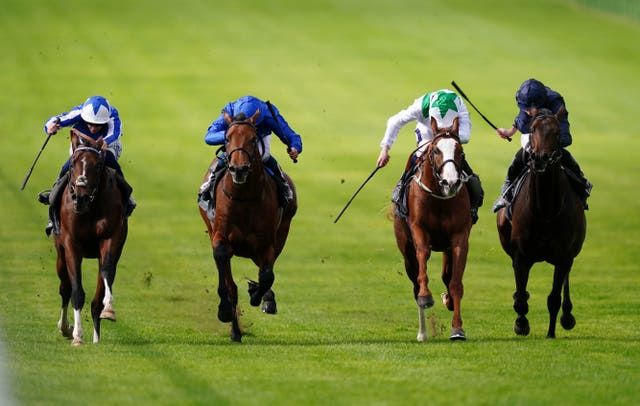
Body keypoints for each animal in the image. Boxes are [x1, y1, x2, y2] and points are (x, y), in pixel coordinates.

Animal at [54, 128, 128, 344]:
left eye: (98, 165)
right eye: (73, 164)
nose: (80, 198)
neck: (90, 208)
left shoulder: (110, 238)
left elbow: (106, 272)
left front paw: (109, 309)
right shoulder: (71, 244)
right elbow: (76, 291)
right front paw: (77, 335)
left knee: (97, 297)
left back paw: (96, 337)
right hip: (60, 253)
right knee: (65, 288)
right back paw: (65, 327)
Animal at [199, 108, 298, 342]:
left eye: (254, 139)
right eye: (227, 138)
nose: (239, 169)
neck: (244, 199)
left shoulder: (266, 244)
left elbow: (267, 276)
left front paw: (258, 295)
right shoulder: (220, 238)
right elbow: (227, 279)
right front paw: (225, 311)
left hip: (281, 234)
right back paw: (235, 330)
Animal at [392, 118, 472, 342]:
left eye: (460, 151)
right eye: (435, 150)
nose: (450, 182)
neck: (440, 200)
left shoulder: (459, 237)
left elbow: (455, 283)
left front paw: (458, 328)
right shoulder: (419, 230)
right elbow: (423, 258)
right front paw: (426, 296)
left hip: (446, 248)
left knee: (447, 275)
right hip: (406, 250)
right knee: (414, 283)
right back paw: (422, 332)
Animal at [498, 108, 588, 340]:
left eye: (556, 132)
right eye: (532, 130)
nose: (540, 159)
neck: (545, 210)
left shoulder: (564, 256)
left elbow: (554, 298)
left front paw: (551, 332)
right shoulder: (521, 255)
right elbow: (521, 297)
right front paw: (521, 324)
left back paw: (567, 315)